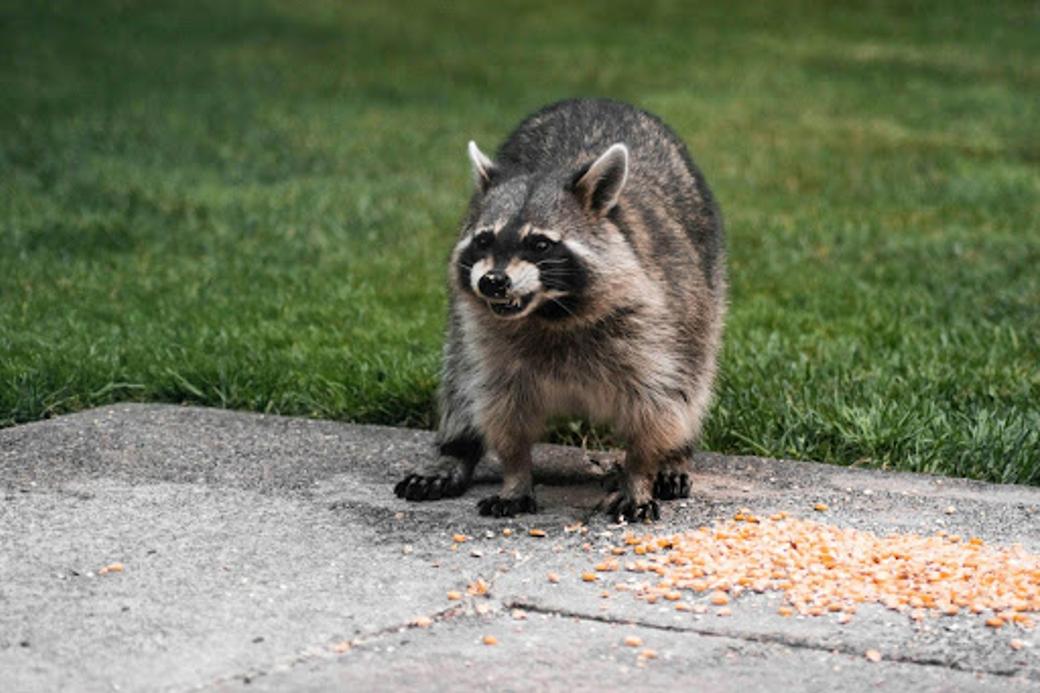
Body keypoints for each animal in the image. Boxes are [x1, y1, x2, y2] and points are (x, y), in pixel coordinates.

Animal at [394, 98, 726, 521]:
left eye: (539, 244)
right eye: (484, 240)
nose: (492, 282)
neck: (550, 311)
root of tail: (598, 100)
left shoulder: (654, 325)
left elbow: (657, 405)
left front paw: (639, 474)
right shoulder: (491, 343)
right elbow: (501, 410)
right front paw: (515, 475)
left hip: (705, 294)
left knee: (693, 380)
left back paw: (675, 457)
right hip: (461, 325)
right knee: (459, 376)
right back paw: (454, 449)